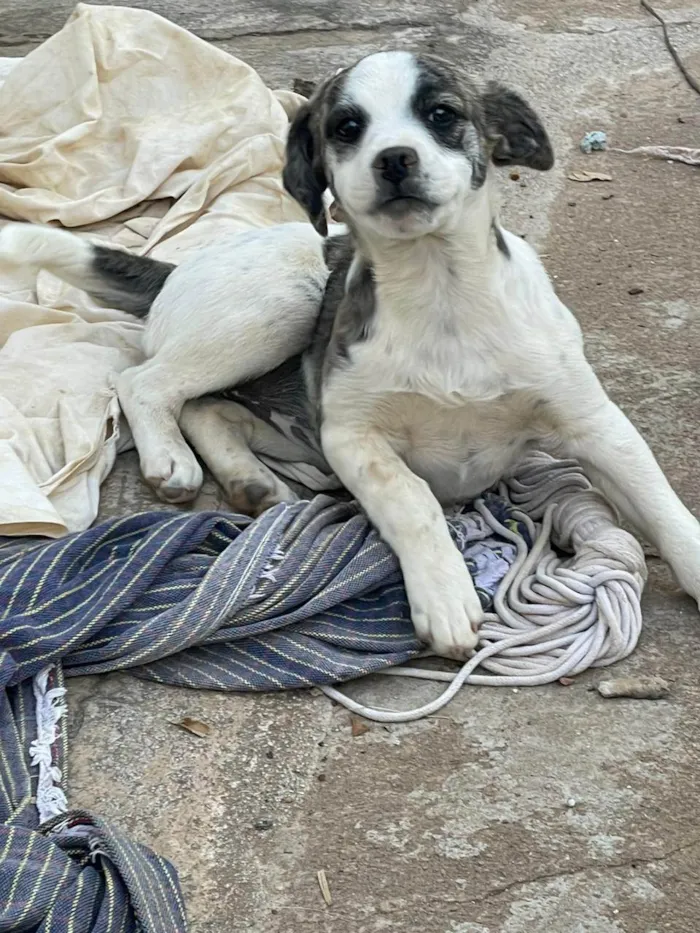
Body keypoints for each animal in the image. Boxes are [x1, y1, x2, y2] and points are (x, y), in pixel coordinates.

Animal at [1, 51, 700, 664]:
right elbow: (412, 499)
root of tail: (182, 266)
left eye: (442, 114)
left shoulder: (595, 424)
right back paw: (170, 457)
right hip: (285, 305)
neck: (442, 296)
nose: (394, 159)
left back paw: (249, 479)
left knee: (206, 407)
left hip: (292, 395)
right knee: (144, 381)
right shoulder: (352, 435)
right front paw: (444, 593)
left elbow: (663, 503)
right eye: (347, 127)